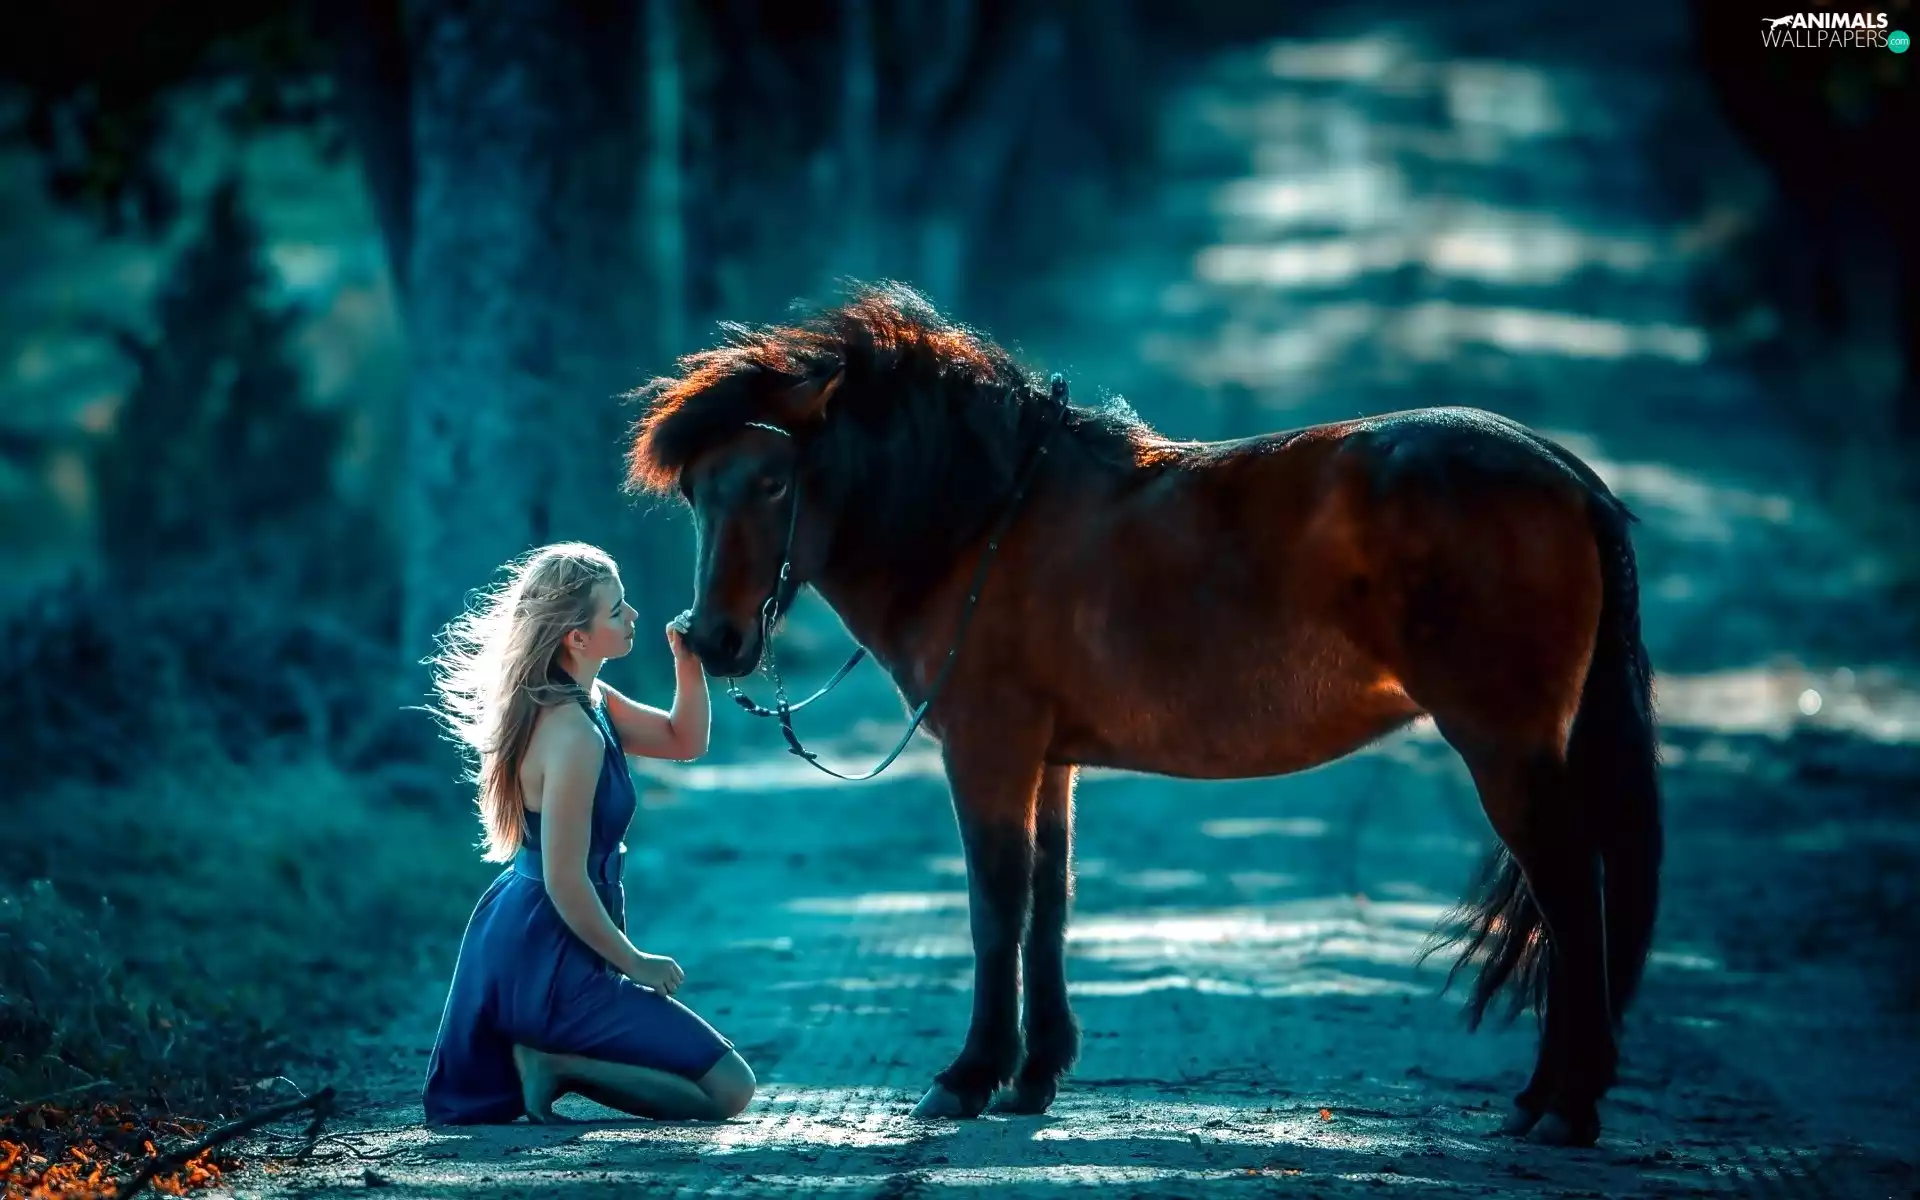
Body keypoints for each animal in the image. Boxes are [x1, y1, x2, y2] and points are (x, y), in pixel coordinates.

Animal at [624, 283, 1663, 1149]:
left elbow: (995, 906)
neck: (982, 520)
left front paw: (969, 1076)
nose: (714, 641)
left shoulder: (989, 751)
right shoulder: (1049, 761)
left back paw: (1564, 1106)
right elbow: (1050, 901)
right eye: (697, 490)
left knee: (1571, 896)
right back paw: (1546, 1098)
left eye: (772, 481)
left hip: (1505, 749)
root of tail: (1566, 476)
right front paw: (1033, 1074)